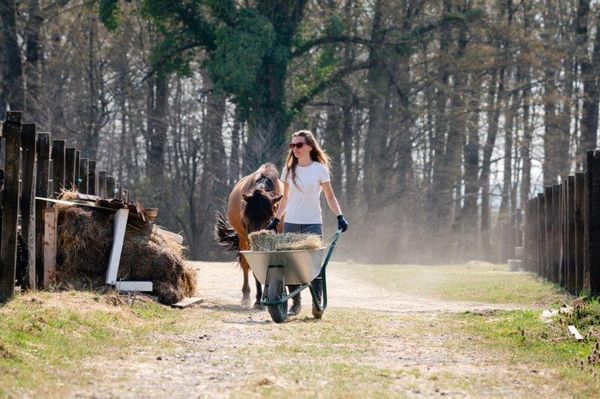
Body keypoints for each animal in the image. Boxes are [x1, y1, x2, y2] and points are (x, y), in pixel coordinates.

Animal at [214, 164, 282, 308]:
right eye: (247, 217)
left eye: (269, 218)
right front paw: (258, 300)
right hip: (242, 239)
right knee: (245, 265)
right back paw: (246, 296)